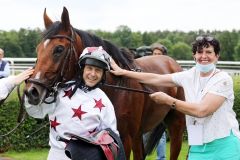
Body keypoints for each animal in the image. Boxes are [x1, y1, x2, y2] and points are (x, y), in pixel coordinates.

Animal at [24, 6, 186, 159]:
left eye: (59, 49)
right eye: (38, 49)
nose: (31, 91)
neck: (118, 89)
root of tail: (173, 63)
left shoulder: (124, 138)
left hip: (176, 124)